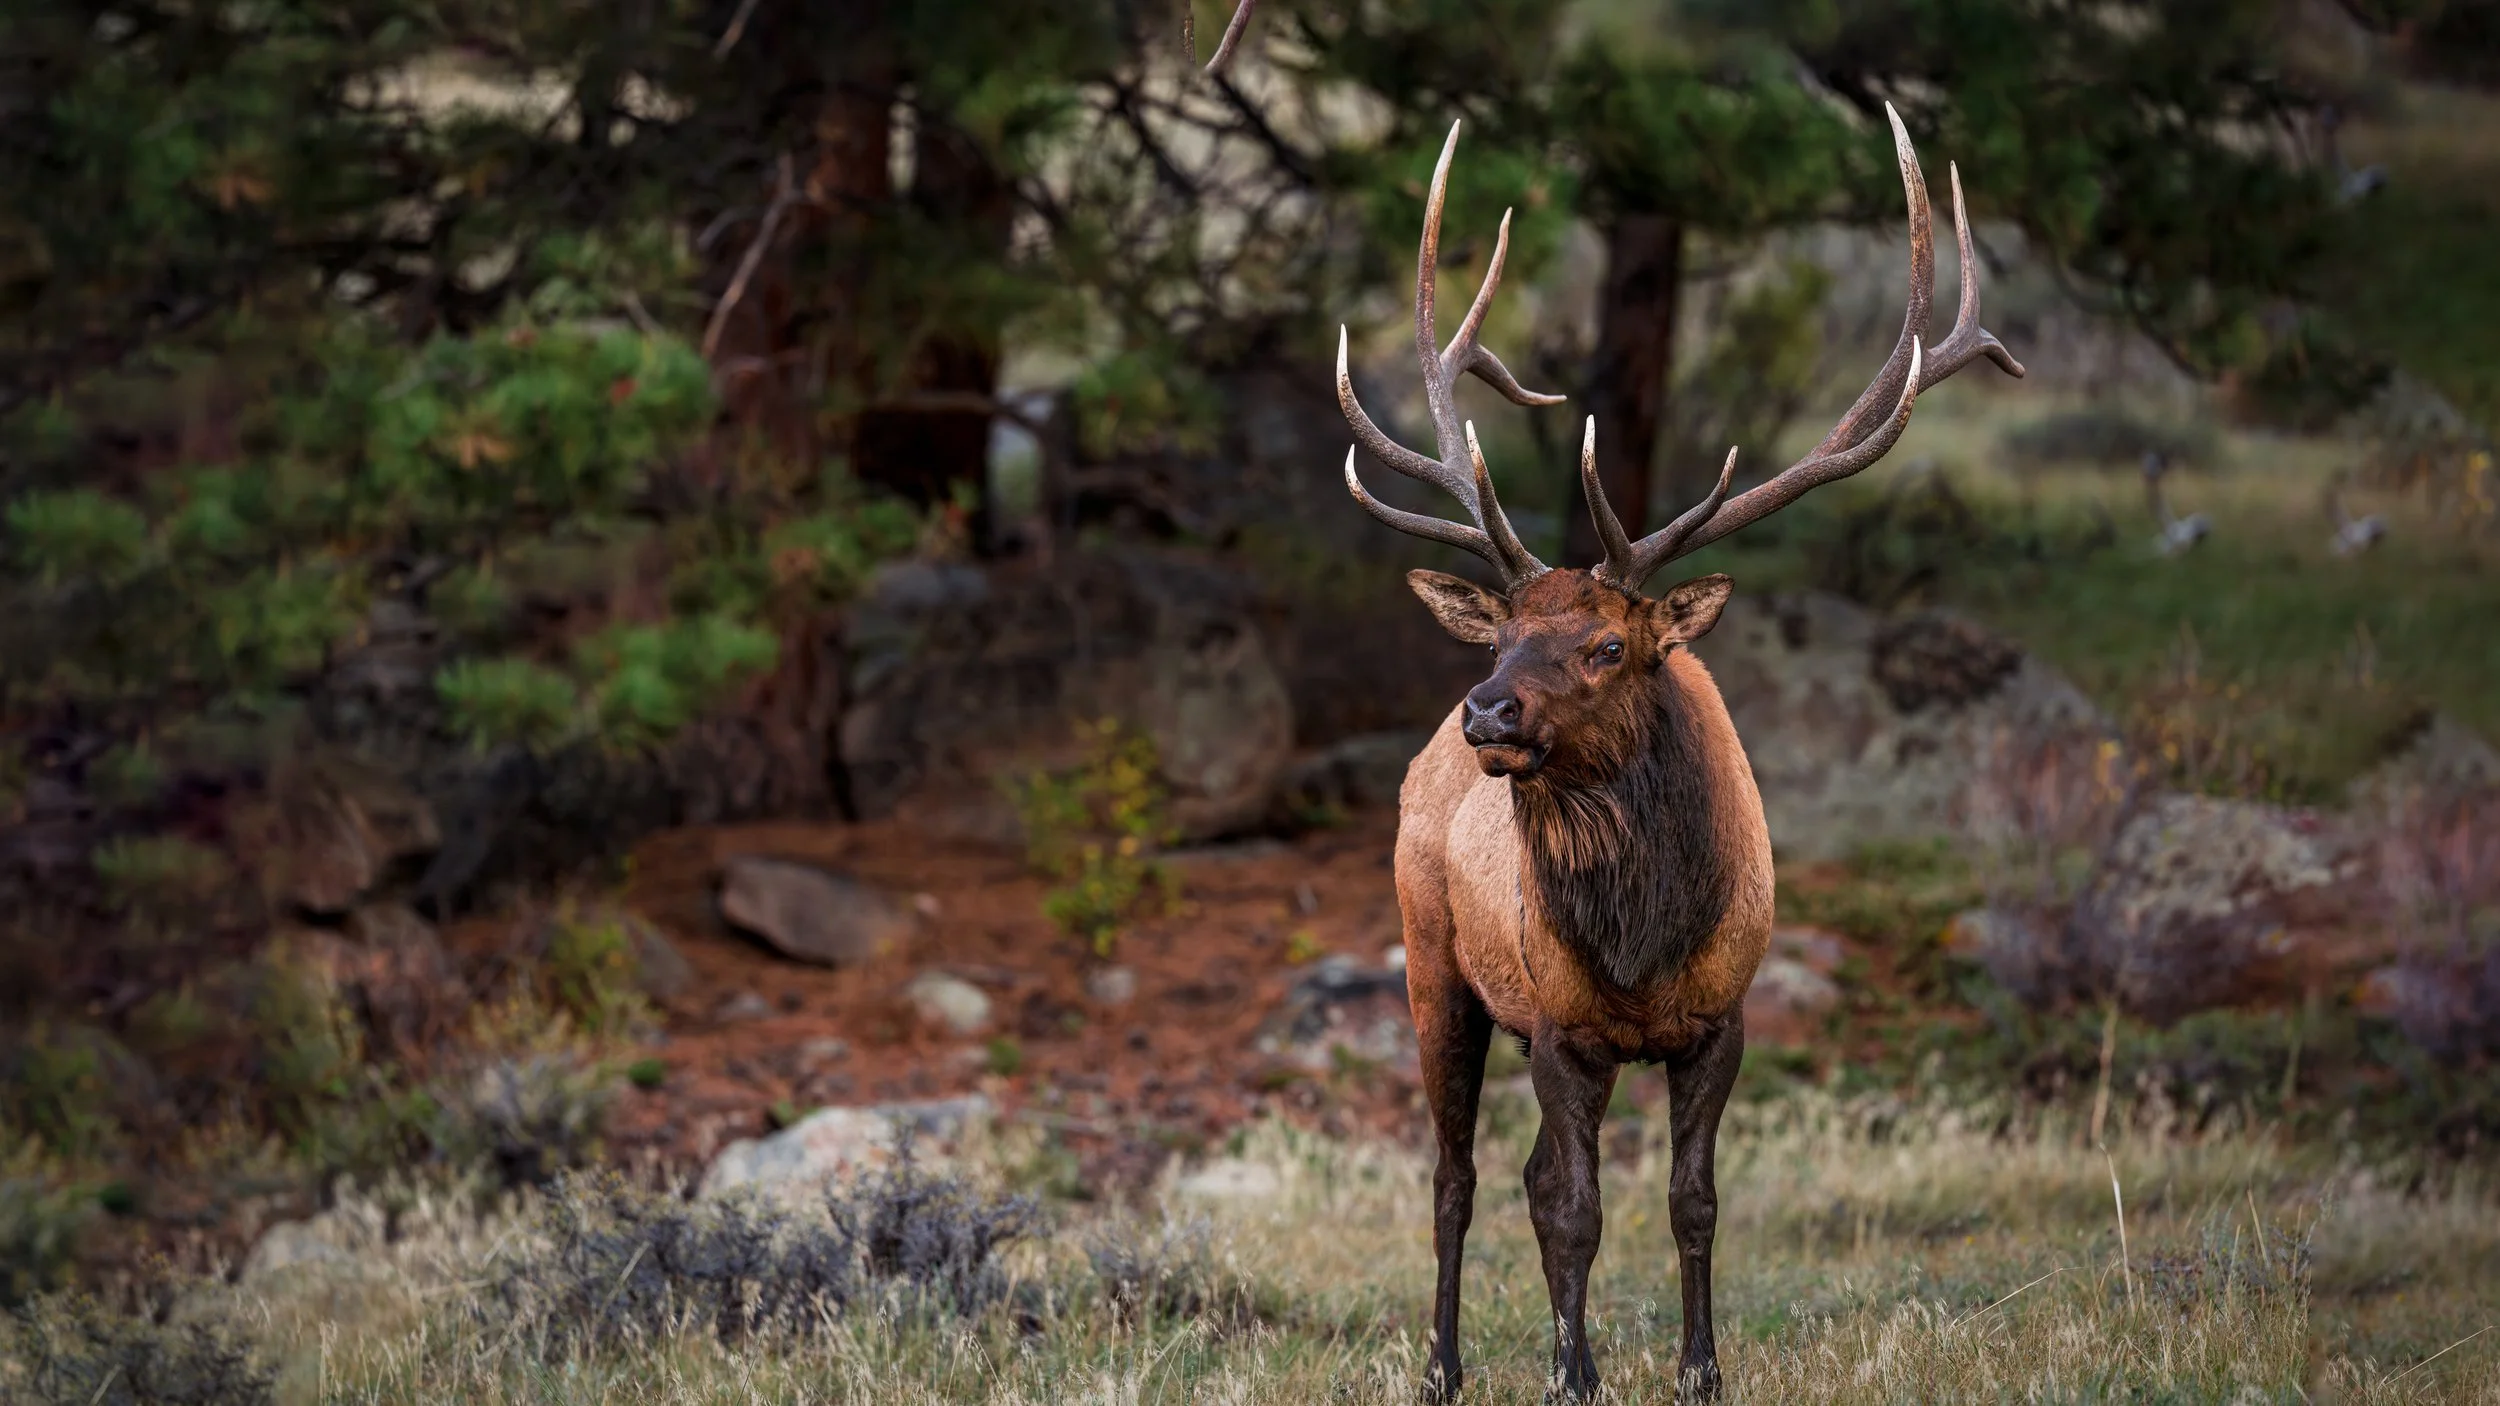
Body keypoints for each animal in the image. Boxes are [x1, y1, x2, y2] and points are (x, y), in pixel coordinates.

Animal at [1337, 108, 2022, 1402]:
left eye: (1609, 643)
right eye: (1500, 631)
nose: (1485, 711)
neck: (1644, 942)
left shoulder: (1723, 1018)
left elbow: (1691, 1201)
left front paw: (1697, 1369)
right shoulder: (1563, 1024)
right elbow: (1574, 1212)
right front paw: (1573, 1374)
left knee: (1513, 1176)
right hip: (1433, 962)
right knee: (1457, 1178)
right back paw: (1445, 1365)